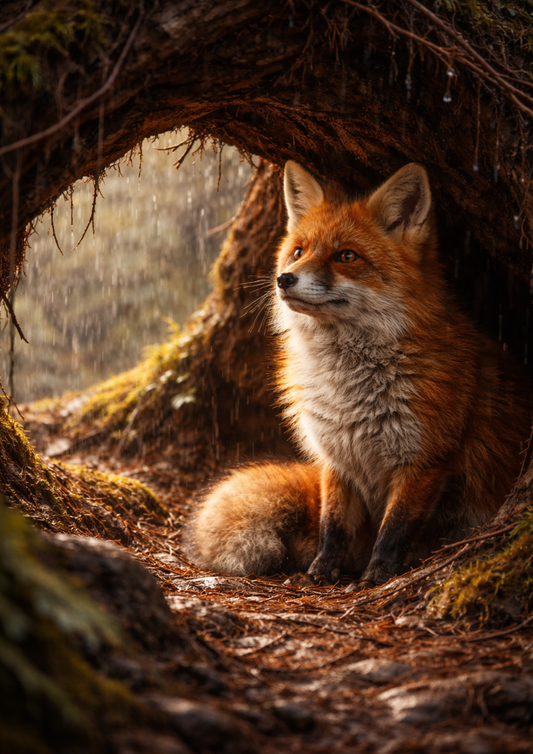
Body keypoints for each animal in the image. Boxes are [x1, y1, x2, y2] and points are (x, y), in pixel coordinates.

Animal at [186, 161, 531, 589]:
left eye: (345, 255)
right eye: (298, 251)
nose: (285, 278)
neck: (349, 394)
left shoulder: (424, 459)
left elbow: (395, 527)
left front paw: (377, 575)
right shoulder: (335, 458)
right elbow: (332, 524)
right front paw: (321, 572)